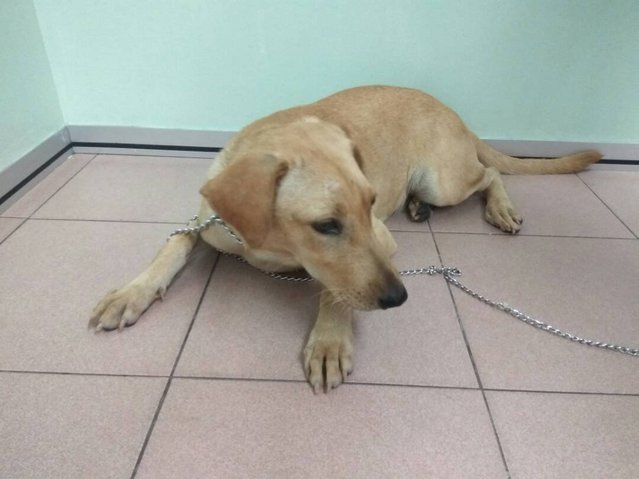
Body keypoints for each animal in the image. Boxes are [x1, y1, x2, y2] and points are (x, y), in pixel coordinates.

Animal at [87, 86, 604, 394]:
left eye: (370, 201)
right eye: (327, 225)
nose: (399, 298)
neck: (273, 243)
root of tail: (453, 111)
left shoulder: (382, 240)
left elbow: (335, 291)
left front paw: (330, 342)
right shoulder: (206, 226)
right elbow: (172, 245)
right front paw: (131, 292)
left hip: (446, 179)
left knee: (490, 172)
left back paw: (499, 207)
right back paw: (419, 206)